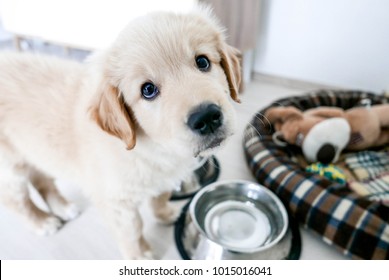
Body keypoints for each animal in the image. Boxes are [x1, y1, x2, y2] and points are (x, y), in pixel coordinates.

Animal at [0, 7, 239, 260]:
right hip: (10, 169)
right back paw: (42, 222)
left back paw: (63, 207)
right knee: (16, 200)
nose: (207, 118)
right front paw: (139, 256)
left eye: (203, 62)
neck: (154, 147)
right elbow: (132, 231)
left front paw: (165, 214)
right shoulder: (117, 203)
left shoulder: (164, 176)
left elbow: (160, 196)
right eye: (148, 90)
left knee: (42, 179)